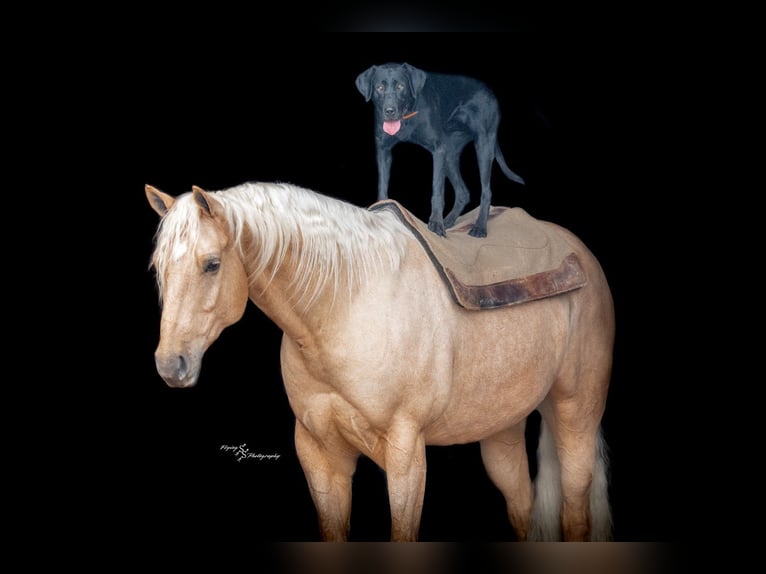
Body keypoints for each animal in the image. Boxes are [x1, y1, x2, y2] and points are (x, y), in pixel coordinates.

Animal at [145, 181, 615, 542]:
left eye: (211, 264)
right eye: (158, 269)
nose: (171, 365)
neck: (343, 306)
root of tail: (577, 251)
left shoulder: (406, 454)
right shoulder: (319, 454)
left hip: (575, 413)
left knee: (575, 513)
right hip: (502, 428)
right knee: (521, 506)